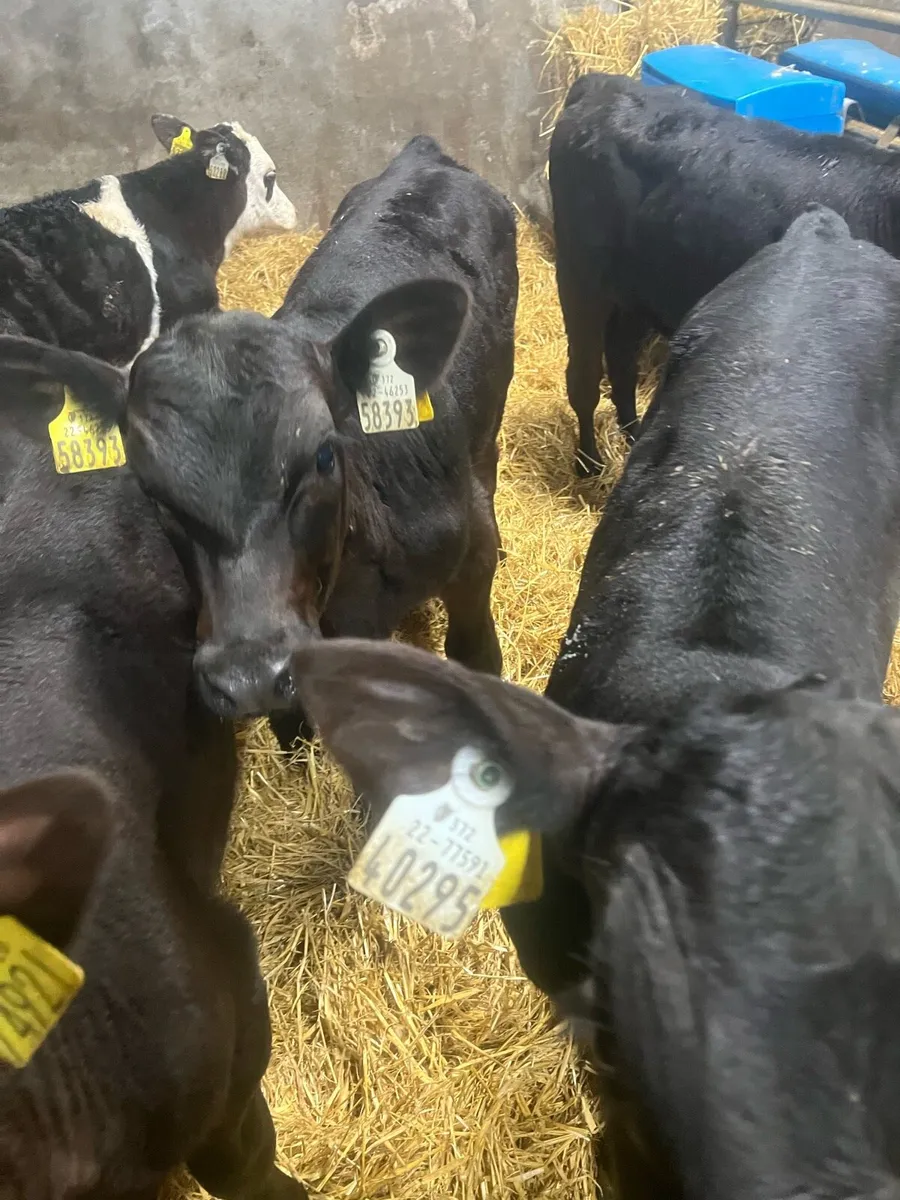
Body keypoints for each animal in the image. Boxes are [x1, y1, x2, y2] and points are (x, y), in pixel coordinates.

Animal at [549, 71, 900, 472]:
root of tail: (605, 83)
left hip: (637, 292)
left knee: (621, 365)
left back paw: (632, 438)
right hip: (580, 277)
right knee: (584, 378)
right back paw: (588, 463)